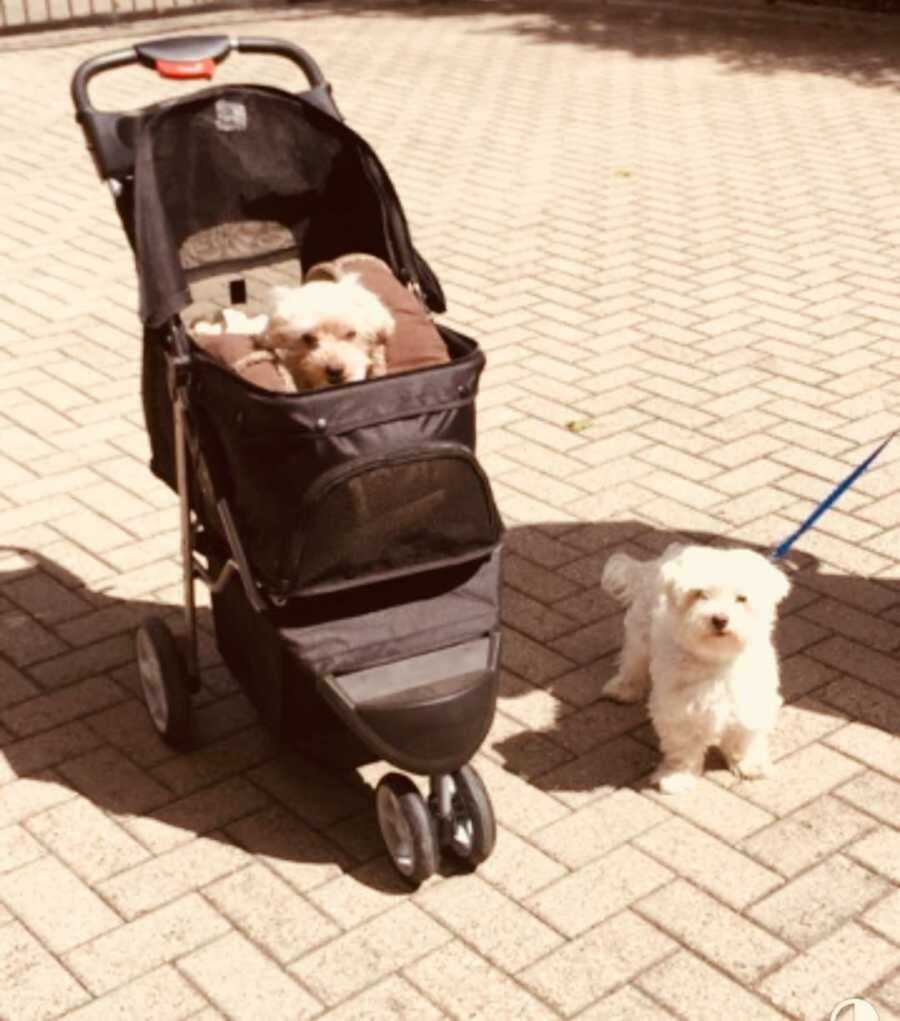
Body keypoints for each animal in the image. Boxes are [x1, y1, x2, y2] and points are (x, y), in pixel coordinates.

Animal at [600, 547, 788, 792]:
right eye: (700, 594)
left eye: (742, 598)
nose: (720, 619)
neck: (716, 658)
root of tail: (663, 559)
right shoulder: (679, 709)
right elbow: (683, 746)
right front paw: (677, 776)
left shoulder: (750, 703)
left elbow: (744, 736)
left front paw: (749, 764)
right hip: (640, 633)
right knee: (633, 660)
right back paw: (624, 688)